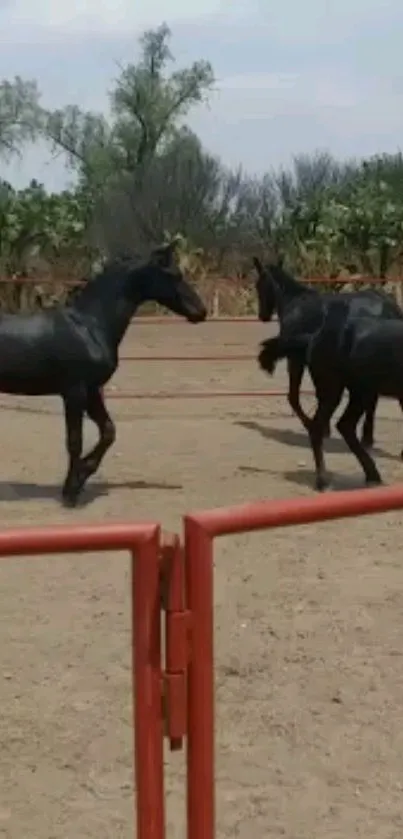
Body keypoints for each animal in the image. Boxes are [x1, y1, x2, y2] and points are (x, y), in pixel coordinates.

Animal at [0, 240, 207, 508]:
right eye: (173, 275)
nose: (201, 311)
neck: (90, 325)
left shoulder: (92, 391)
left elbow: (108, 431)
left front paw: (83, 475)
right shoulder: (74, 391)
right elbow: (75, 441)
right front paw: (70, 492)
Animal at [254, 260, 402, 450]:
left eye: (259, 284)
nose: (262, 316)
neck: (295, 305)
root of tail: (389, 305)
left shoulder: (296, 359)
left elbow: (293, 397)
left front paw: (313, 426)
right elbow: (319, 394)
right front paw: (324, 427)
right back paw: (367, 438)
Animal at [258, 298, 403, 488]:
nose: (263, 315)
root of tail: (314, 337)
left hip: (360, 393)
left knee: (345, 425)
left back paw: (372, 475)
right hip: (332, 390)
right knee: (319, 427)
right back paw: (323, 481)